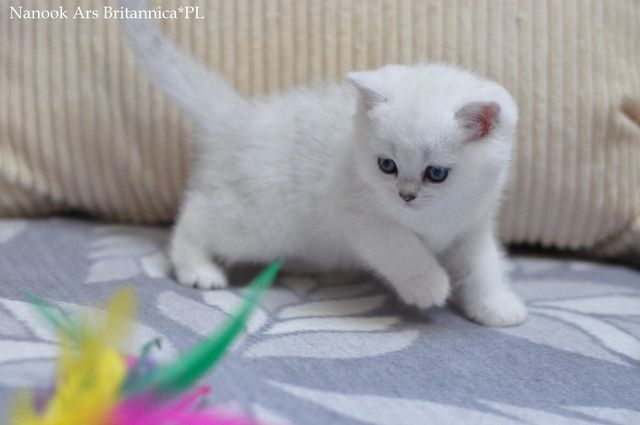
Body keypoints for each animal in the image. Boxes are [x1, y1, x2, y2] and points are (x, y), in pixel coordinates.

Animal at [125, 2, 527, 327]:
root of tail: (237, 118)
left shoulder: (473, 226)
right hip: (259, 223)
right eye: (387, 165)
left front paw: (496, 307)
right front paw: (427, 284)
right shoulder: (359, 216)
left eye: (437, 173)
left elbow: (483, 266)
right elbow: (400, 246)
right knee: (196, 216)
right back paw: (196, 268)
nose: (406, 196)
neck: (436, 219)